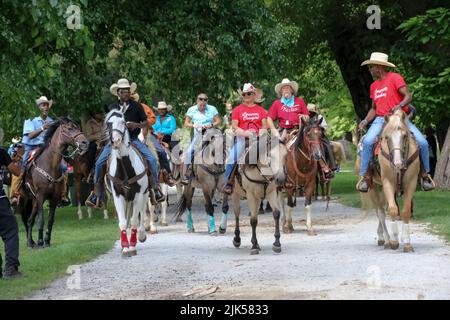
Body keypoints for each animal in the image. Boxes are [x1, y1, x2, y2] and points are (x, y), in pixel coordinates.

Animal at [17, 117, 88, 248]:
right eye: (69, 128)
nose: (85, 143)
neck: (50, 164)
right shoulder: (41, 196)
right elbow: (41, 220)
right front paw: (41, 242)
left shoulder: (54, 198)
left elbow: (50, 220)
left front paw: (47, 241)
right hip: (30, 199)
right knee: (29, 219)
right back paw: (30, 242)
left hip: (35, 201)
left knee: (30, 220)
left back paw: (31, 242)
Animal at [103, 110, 148, 258]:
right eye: (108, 123)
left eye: (123, 122)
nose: (115, 141)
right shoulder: (117, 195)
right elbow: (122, 222)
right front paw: (125, 248)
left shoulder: (139, 194)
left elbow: (134, 220)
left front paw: (132, 246)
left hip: (145, 194)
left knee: (142, 211)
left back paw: (141, 235)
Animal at [356, 110, 420, 252]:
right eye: (386, 137)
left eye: (405, 136)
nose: (397, 163)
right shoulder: (388, 183)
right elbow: (392, 210)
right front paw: (394, 241)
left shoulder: (411, 183)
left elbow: (405, 211)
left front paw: (407, 243)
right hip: (373, 186)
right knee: (380, 211)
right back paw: (385, 239)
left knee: (381, 208)